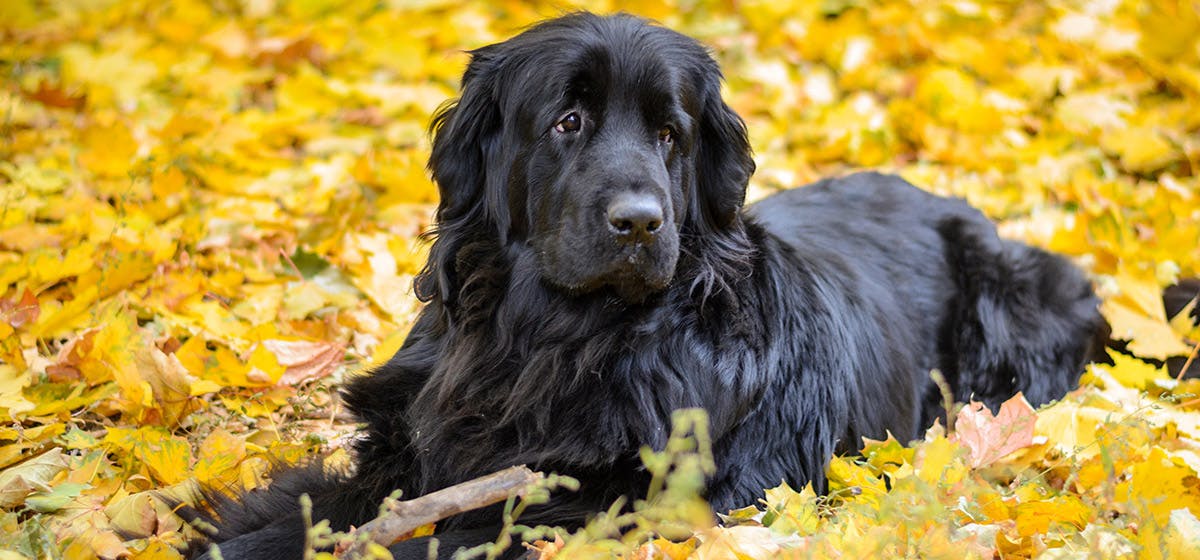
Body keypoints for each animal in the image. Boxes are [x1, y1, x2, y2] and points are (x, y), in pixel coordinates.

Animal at [189, 10, 1104, 558]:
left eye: (671, 134)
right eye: (568, 121)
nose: (639, 222)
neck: (546, 341)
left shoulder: (623, 500)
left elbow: (446, 533)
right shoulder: (406, 449)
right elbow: (312, 504)